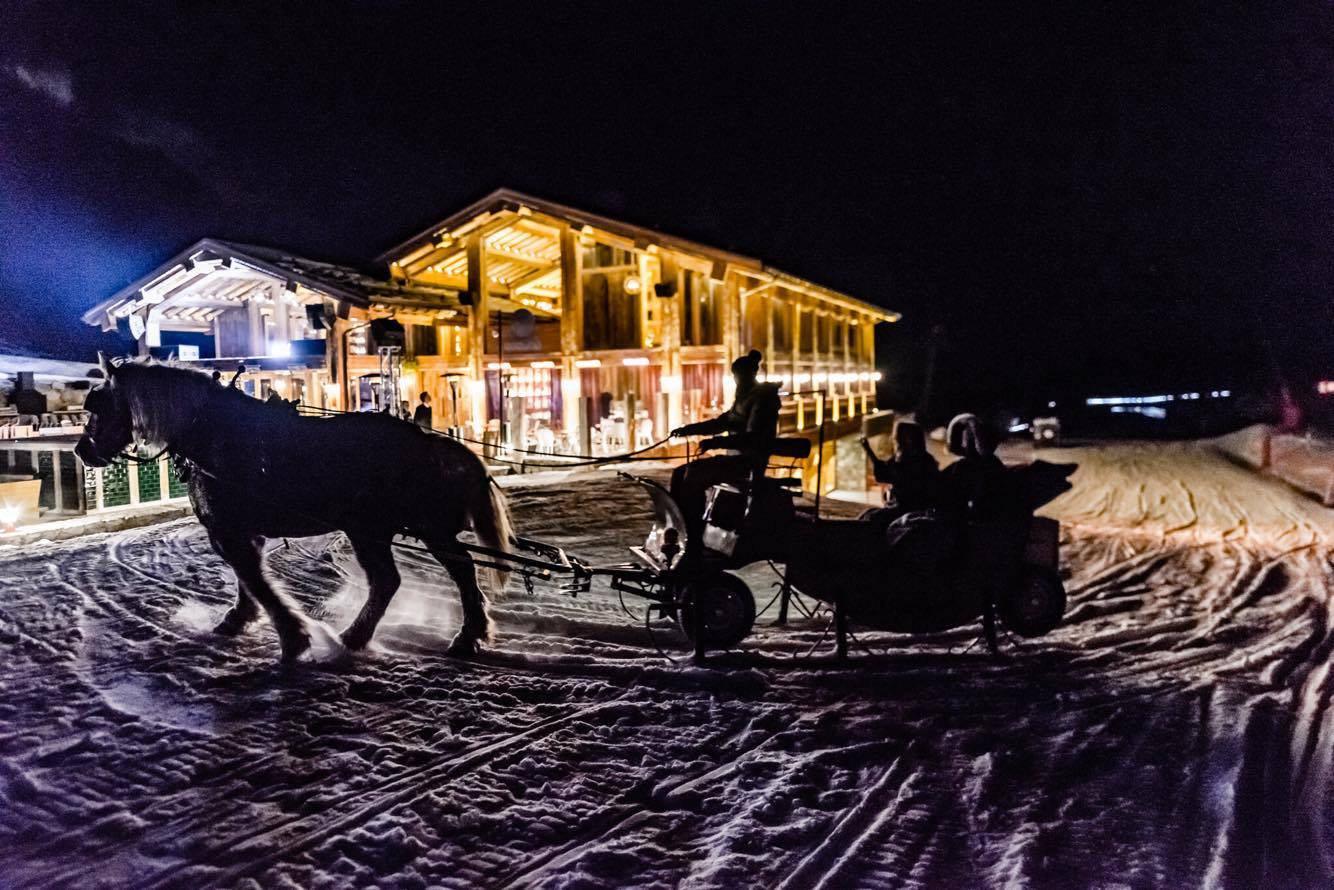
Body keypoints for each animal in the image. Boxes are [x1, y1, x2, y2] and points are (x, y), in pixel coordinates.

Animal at [74, 357, 509, 661]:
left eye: (98, 407)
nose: (81, 452)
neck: (213, 434)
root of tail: (425, 441)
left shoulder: (228, 531)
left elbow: (257, 582)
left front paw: (293, 638)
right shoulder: (241, 531)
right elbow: (246, 580)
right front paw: (239, 619)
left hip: (387, 529)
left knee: (425, 576)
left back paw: (374, 637)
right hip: (392, 528)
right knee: (434, 575)